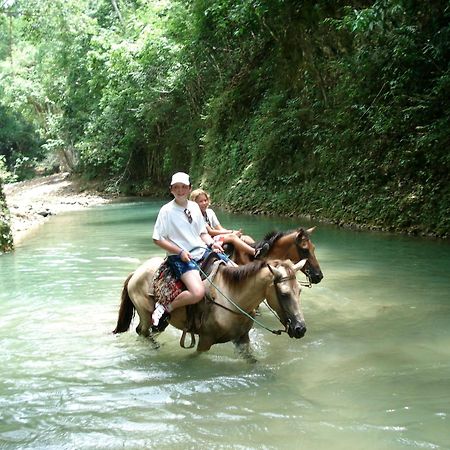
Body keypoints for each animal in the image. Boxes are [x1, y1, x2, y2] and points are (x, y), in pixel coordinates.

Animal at [114, 258, 308, 354]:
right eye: (284, 294)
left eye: (299, 291)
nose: (300, 329)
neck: (233, 298)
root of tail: (135, 273)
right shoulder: (205, 341)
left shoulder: (242, 339)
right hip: (145, 314)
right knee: (142, 331)